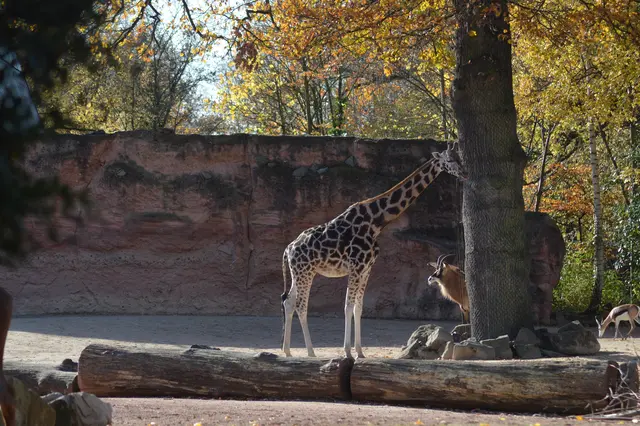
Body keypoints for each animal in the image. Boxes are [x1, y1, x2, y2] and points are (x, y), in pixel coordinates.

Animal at [281, 143, 467, 359]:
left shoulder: (367, 268)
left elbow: (359, 308)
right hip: (306, 272)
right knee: (301, 305)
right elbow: (347, 306)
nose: (464, 173)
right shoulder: (355, 266)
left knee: (289, 302)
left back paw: (287, 351)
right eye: (449, 160)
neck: (376, 221)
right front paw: (347, 351)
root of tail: (288, 249)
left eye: (459, 157)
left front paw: (360, 352)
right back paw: (310, 352)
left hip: (299, 273)